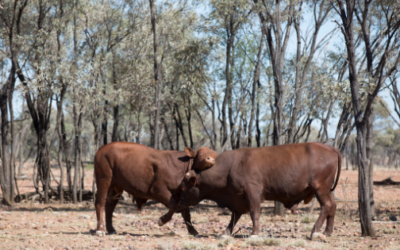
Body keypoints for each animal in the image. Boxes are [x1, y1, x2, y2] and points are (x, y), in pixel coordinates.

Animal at [178, 143, 340, 238]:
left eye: (184, 186)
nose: (177, 201)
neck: (231, 167)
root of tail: (329, 147)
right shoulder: (238, 199)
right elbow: (234, 217)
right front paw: (226, 232)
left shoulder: (253, 193)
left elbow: (254, 213)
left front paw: (254, 233)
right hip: (325, 190)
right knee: (333, 206)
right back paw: (328, 231)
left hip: (320, 188)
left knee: (327, 206)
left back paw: (315, 231)